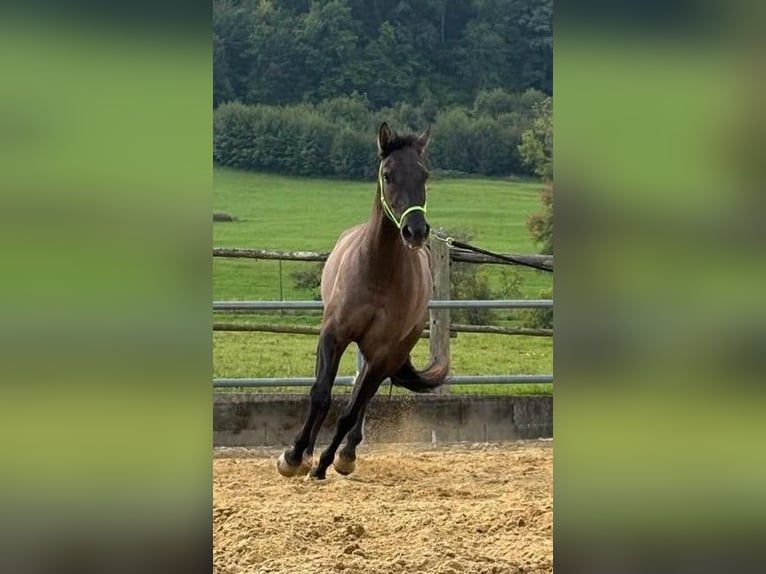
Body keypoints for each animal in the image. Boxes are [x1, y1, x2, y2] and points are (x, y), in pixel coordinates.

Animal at [277, 122, 450, 480]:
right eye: (387, 174)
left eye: (424, 174)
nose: (415, 231)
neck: (377, 271)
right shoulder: (334, 335)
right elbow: (321, 395)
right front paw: (294, 456)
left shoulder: (382, 352)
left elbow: (351, 409)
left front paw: (325, 463)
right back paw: (308, 453)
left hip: (386, 355)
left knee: (363, 398)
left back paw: (345, 454)